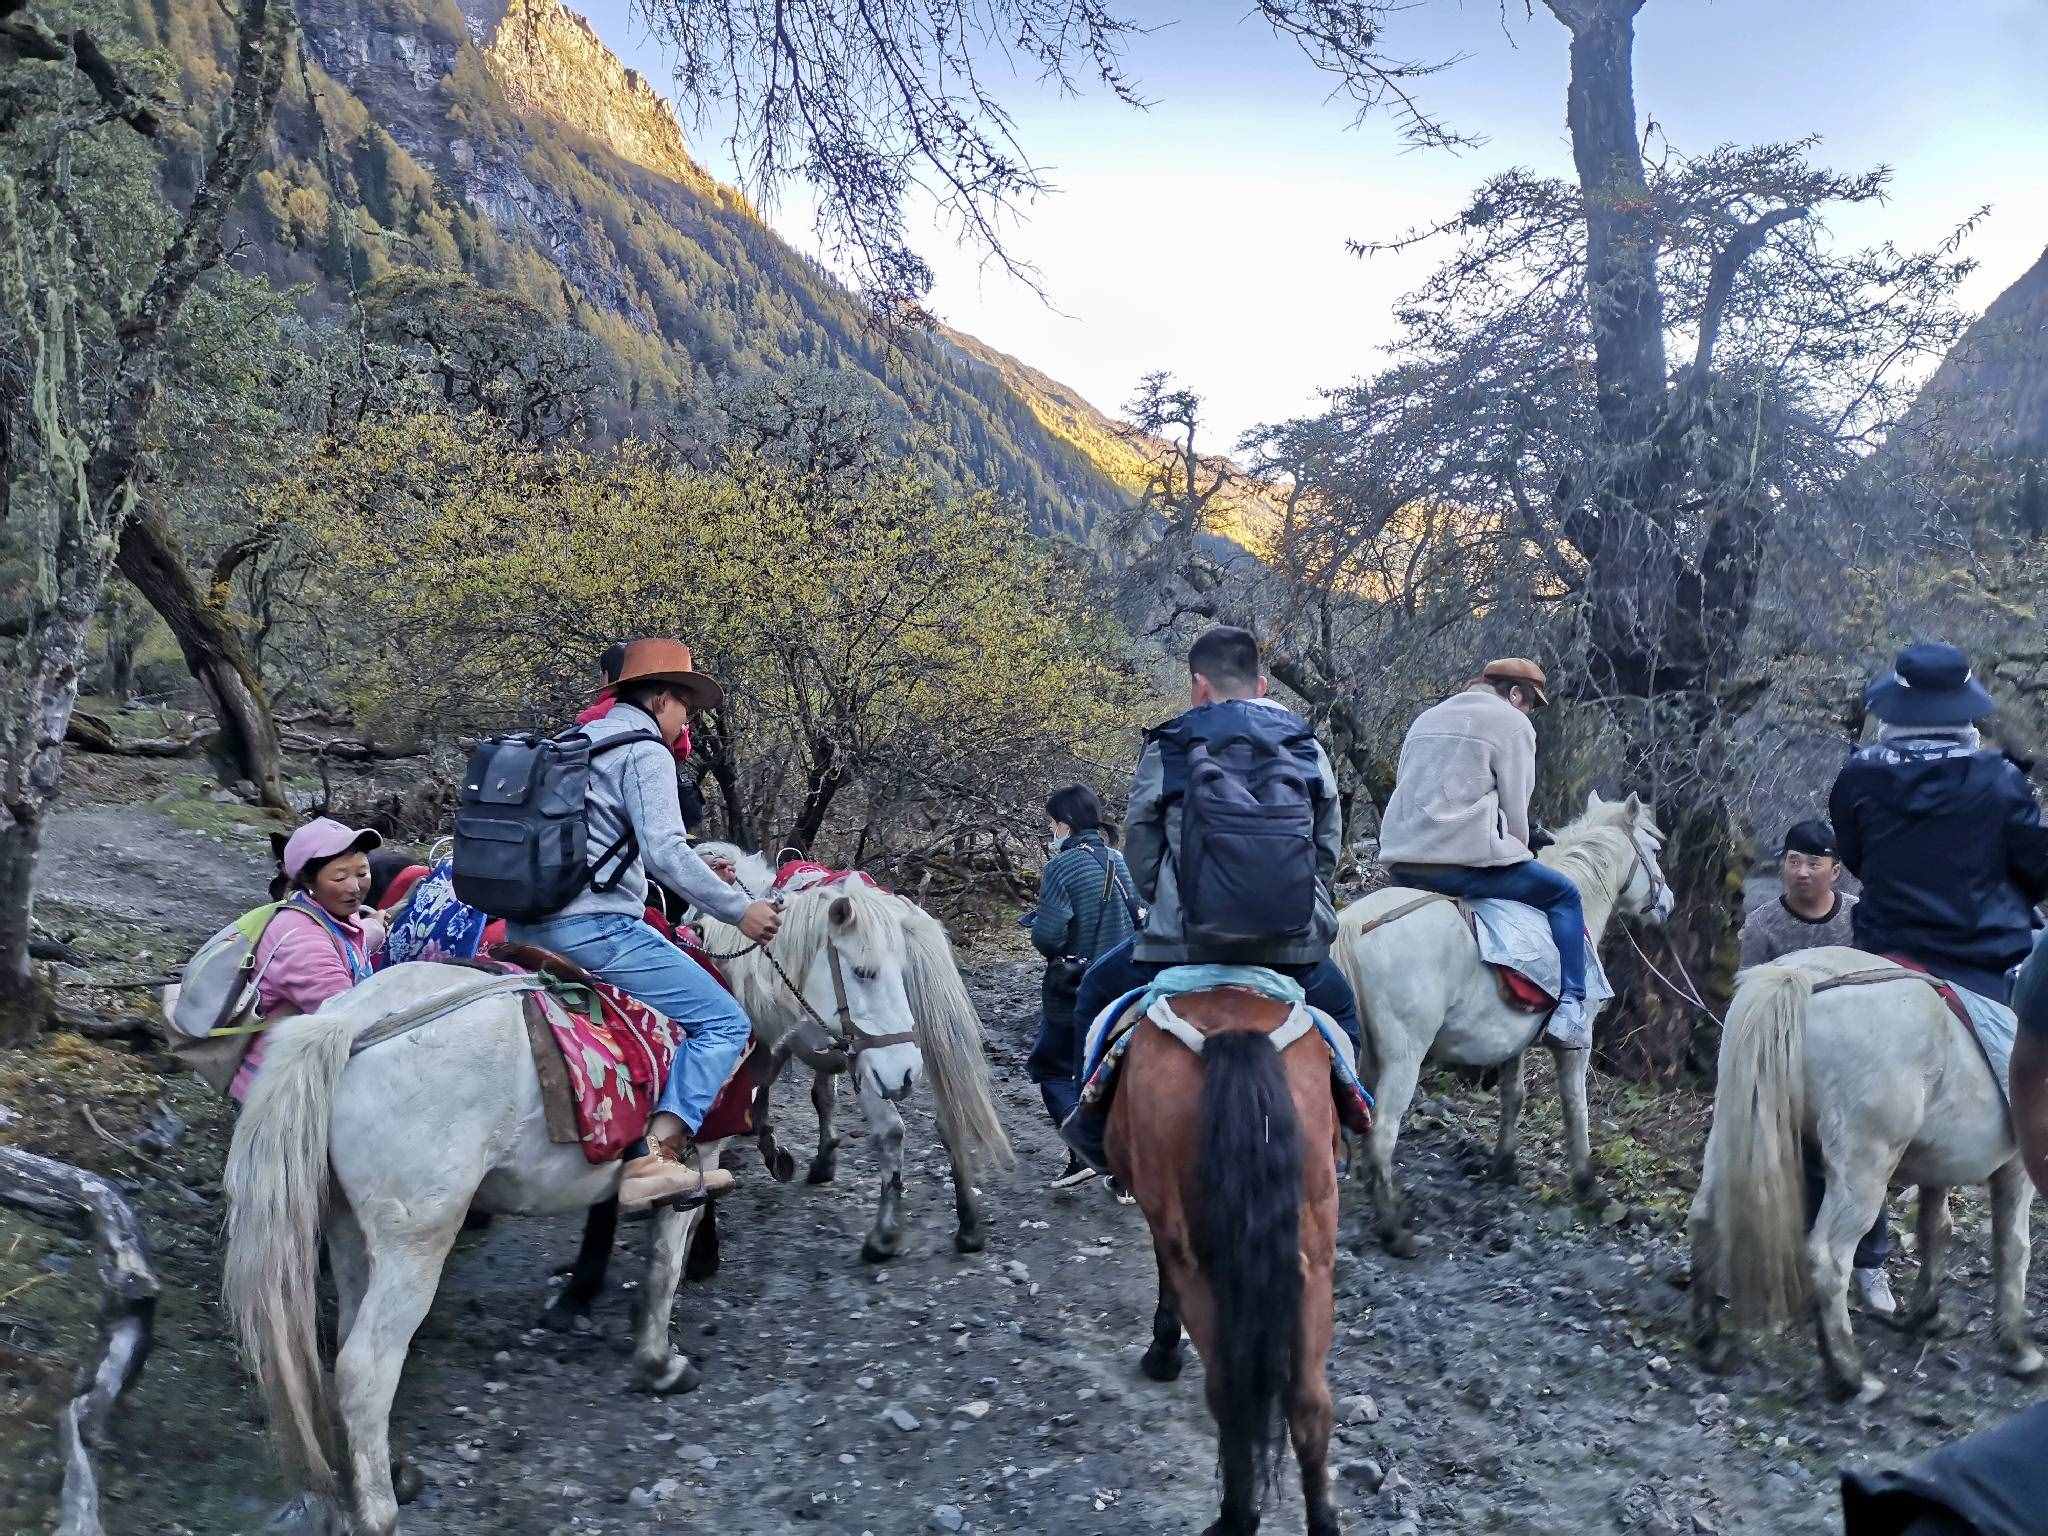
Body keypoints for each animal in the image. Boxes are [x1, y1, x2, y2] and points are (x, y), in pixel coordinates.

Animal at [224, 876, 921, 1536]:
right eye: (865, 972)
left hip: (347, 1224)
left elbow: (613, 1223)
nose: (906, 1073)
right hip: (416, 1241)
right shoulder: (696, 1155)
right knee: (367, 1367)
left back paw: (393, 1470)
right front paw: (659, 1361)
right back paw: (378, 1511)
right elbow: (664, 1263)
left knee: (347, 1347)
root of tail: (346, 1028)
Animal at [692, 847, 1011, 1269]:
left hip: (878, 1064)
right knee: (949, 1121)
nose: (903, 1076)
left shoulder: (776, 1038)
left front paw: (777, 1152)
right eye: (864, 972)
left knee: (891, 1131)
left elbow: (764, 1088)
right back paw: (969, 1226)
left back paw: (883, 1236)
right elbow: (820, 1096)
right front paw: (821, 1158)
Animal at [1105, 991, 1343, 1531]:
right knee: (1309, 1401)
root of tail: (1235, 1032)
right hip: (1314, 1259)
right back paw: (1322, 1521)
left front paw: (1163, 1351)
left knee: (1228, 1391)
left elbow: (1161, 1271)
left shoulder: (1162, 1219)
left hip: (1200, 1264)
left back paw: (1235, 1518)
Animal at [1327, 798, 1679, 1253]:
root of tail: (1354, 926)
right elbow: (1576, 1107)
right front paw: (1588, 1187)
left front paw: (1505, 1165)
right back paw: (1394, 1231)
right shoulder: (1575, 1043)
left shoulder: (1511, 1041)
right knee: (1383, 1132)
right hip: (1403, 1058)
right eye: (1653, 849)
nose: (1668, 902)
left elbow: (1514, 1096)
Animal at [1687, 958, 2039, 1417]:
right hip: (1863, 1168)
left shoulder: (1937, 1168)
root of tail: (1797, 977)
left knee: (1705, 1218)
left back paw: (1709, 1341)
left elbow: (1935, 1229)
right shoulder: (2016, 1170)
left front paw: (1927, 1313)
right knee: (1829, 1259)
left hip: (1732, 1128)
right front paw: (2018, 1348)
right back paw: (1851, 1378)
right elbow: (2012, 1248)